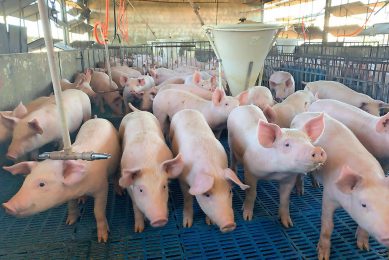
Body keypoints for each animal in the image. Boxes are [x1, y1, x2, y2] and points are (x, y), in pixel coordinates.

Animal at [292, 112, 389, 260]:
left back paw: (316, 185)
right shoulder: (328, 196)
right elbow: (327, 226)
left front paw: (364, 248)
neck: (368, 175)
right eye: (363, 204)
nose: (387, 236)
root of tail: (301, 114)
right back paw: (300, 192)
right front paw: (323, 256)